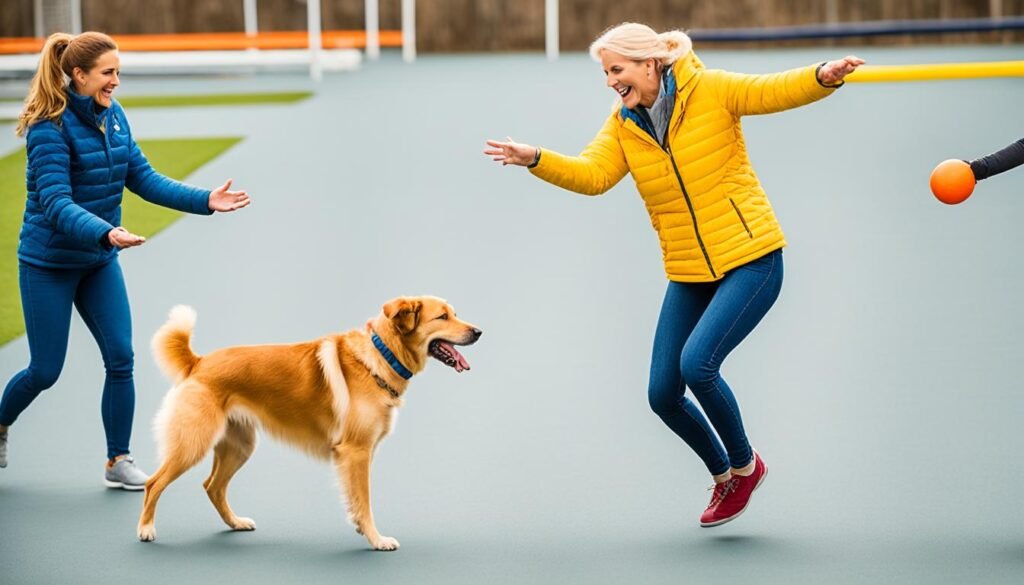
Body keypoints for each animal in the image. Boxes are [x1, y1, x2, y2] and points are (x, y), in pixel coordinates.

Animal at [137, 295, 483, 553]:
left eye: (455, 314)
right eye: (442, 317)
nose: (479, 332)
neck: (380, 356)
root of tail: (198, 362)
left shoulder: (361, 454)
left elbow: (357, 500)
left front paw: (361, 529)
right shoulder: (356, 452)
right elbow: (365, 500)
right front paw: (376, 539)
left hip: (240, 447)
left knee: (212, 486)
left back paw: (235, 523)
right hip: (192, 444)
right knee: (155, 483)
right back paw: (146, 529)